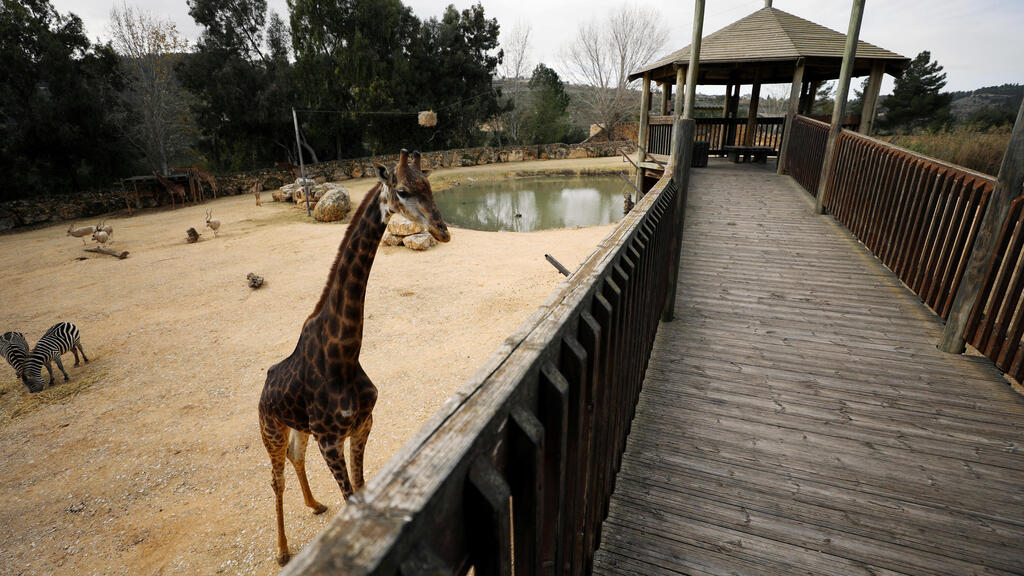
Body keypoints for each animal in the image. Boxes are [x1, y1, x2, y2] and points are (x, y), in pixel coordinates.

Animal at [258, 149, 450, 566]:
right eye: (403, 190)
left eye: (429, 184)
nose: (443, 230)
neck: (343, 354)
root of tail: (264, 385)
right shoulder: (331, 439)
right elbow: (350, 497)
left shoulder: (362, 424)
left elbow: (360, 486)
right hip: (270, 429)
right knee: (276, 479)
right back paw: (281, 550)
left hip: (299, 428)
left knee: (297, 457)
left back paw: (314, 505)